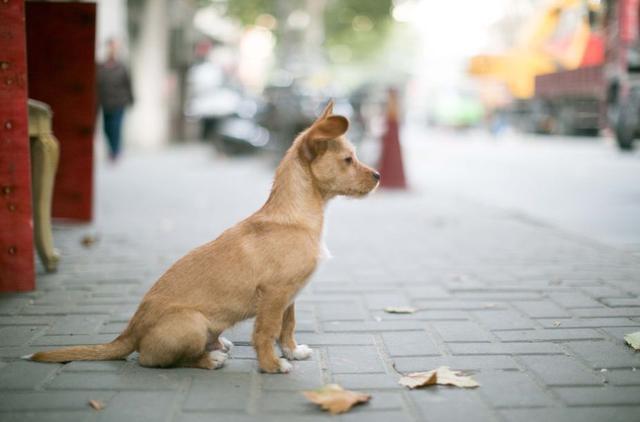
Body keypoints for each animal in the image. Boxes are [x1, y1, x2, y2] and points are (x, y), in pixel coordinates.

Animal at [26, 101, 380, 372]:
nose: (378, 176)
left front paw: (293, 351)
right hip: (192, 323)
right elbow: (266, 331)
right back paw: (209, 360)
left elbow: (287, 326)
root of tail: (130, 332)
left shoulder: (289, 296)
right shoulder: (275, 294)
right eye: (348, 160)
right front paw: (271, 365)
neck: (296, 216)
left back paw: (218, 345)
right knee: (152, 359)